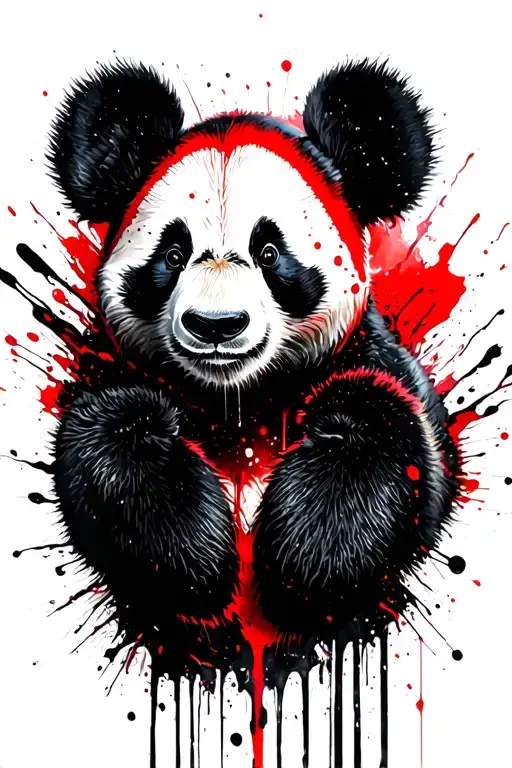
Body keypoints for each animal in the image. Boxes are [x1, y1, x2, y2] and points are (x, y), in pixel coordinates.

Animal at [48, 59, 459, 649]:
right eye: (172, 254)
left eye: (269, 252)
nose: (216, 325)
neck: (237, 403)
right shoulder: (110, 370)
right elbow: (105, 442)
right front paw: (198, 562)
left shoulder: (369, 358)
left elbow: (395, 442)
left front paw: (305, 563)